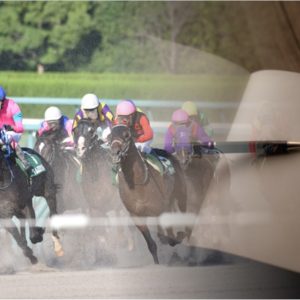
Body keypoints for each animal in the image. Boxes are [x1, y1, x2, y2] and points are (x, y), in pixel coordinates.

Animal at [108, 123, 188, 264]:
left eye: (127, 135)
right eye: (110, 136)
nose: (115, 153)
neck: (137, 185)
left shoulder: (162, 209)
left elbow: (170, 238)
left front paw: (178, 237)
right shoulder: (137, 216)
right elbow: (152, 244)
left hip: (181, 195)